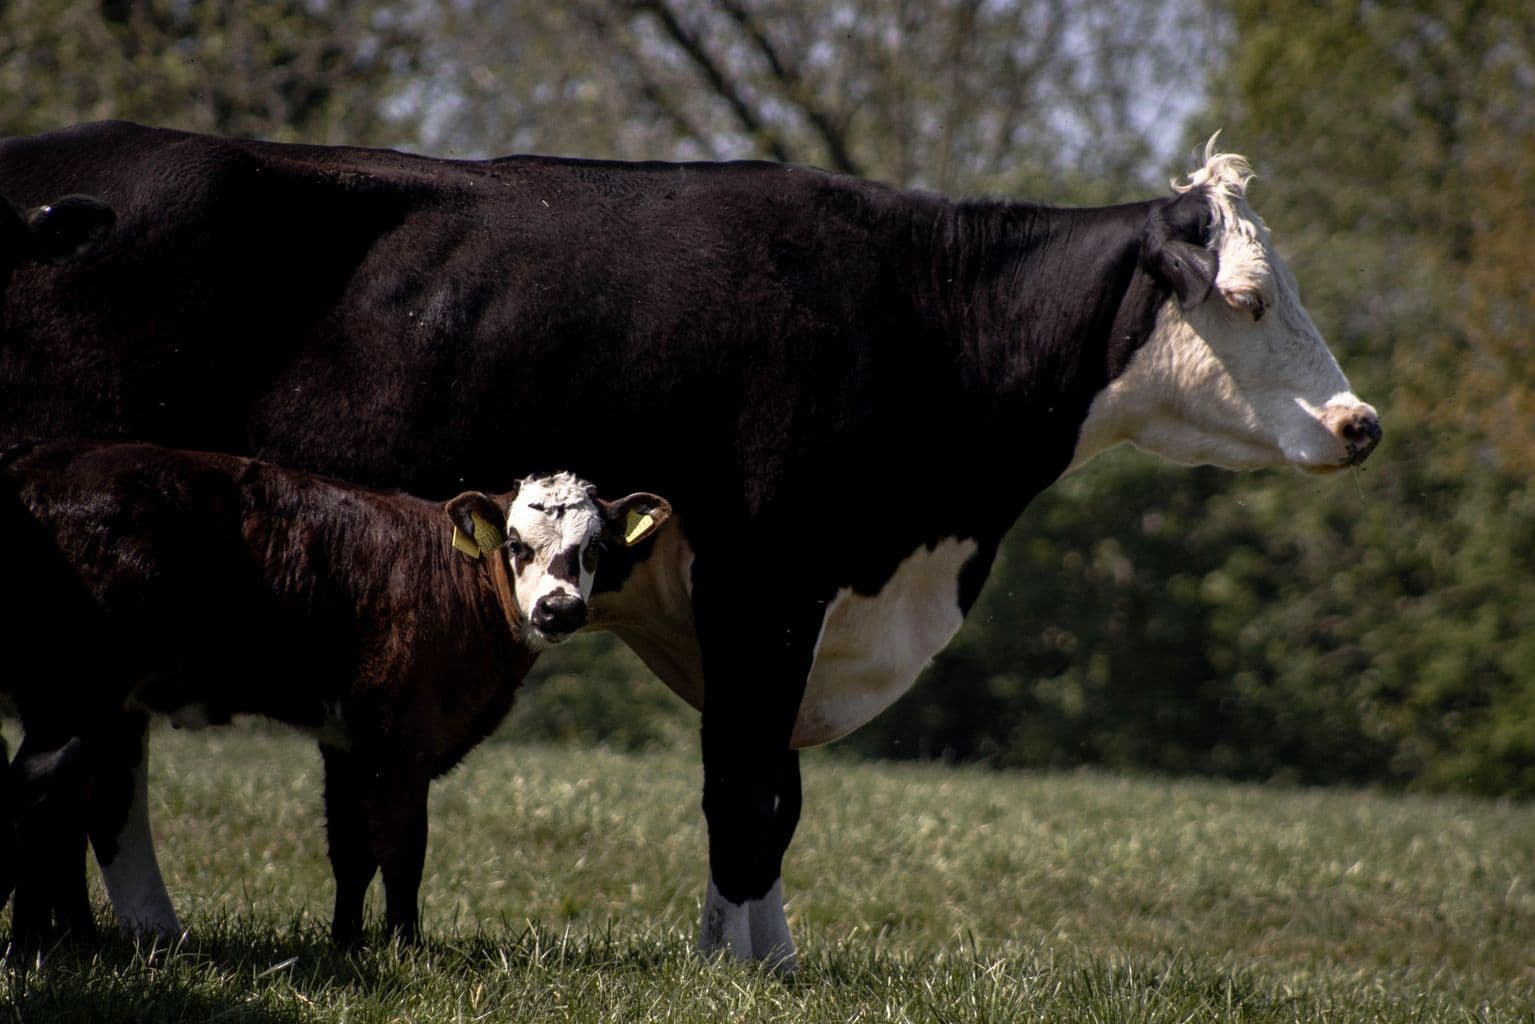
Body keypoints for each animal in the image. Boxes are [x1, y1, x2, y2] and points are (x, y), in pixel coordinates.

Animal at [3, 440, 670, 944]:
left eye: (593, 549)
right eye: (514, 544)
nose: (560, 609)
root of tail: (37, 466)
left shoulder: (349, 738)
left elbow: (352, 851)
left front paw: (346, 943)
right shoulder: (401, 739)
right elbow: (402, 848)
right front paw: (405, 946)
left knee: (67, 804)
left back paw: (73, 941)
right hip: (77, 691)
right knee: (42, 789)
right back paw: (40, 945)